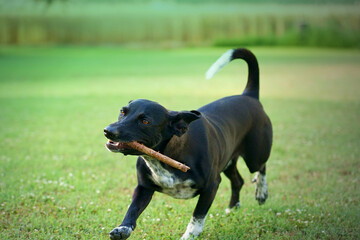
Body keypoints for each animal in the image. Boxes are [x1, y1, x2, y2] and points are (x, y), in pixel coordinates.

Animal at [104, 47, 272, 239]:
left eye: (145, 121)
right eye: (122, 112)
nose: (108, 130)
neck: (167, 157)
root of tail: (249, 96)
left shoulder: (211, 185)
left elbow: (198, 215)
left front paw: (190, 234)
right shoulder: (143, 188)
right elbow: (132, 209)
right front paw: (122, 228)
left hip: (255, 155)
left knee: (261, 167)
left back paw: (261, 192)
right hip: (229, 160)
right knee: (238, 181)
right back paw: (233, 208)